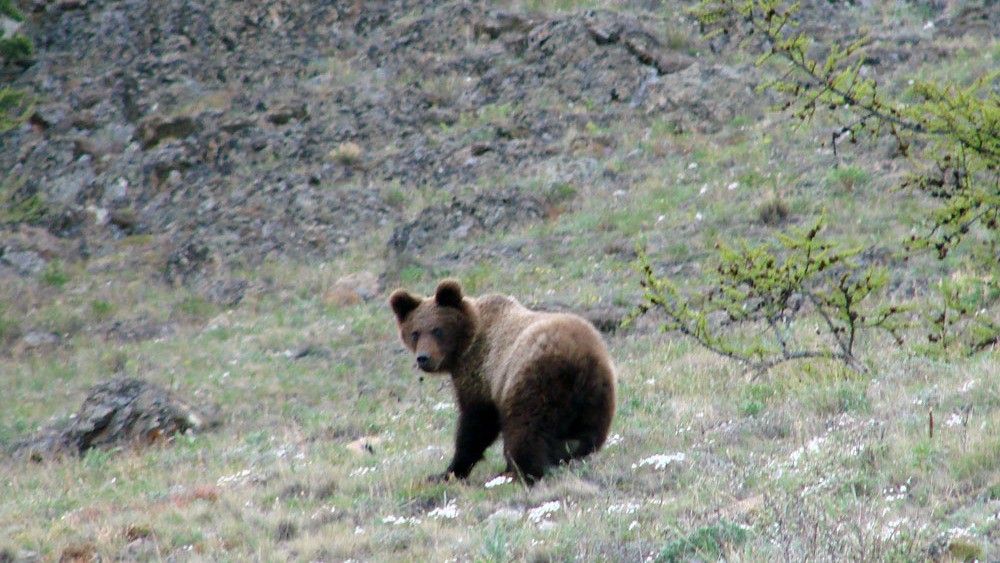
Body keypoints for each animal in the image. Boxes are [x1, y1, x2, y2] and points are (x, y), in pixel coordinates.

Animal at [390, 280, 616, 482]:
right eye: (415, 332)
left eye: (437, 329)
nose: (423, 358)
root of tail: (577, 357)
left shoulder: (482, 374)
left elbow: (476, 424)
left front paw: (448, 471)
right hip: (597, 394)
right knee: (587, 436)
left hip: (533, 380)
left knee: (526, 430)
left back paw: (524, 472)